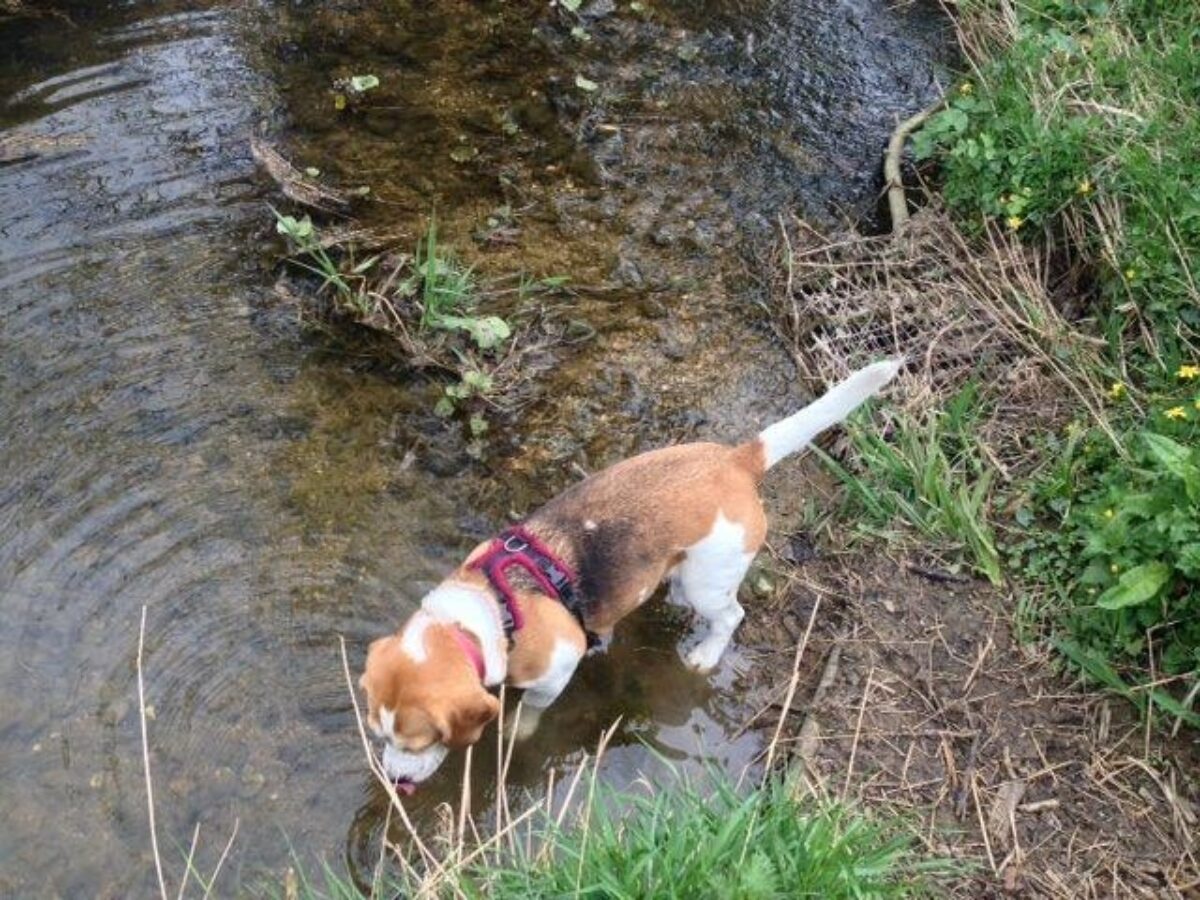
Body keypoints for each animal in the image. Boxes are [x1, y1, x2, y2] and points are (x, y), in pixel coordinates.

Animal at [360, 355, 902, 792]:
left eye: (419, 742)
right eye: (379, 733)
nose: (394, 779)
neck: (488, 610)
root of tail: (736, 460)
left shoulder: (556, 668)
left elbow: (531, 709)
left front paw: (517, 731)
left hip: (709, 581)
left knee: (731, 616)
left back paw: (706, 653)